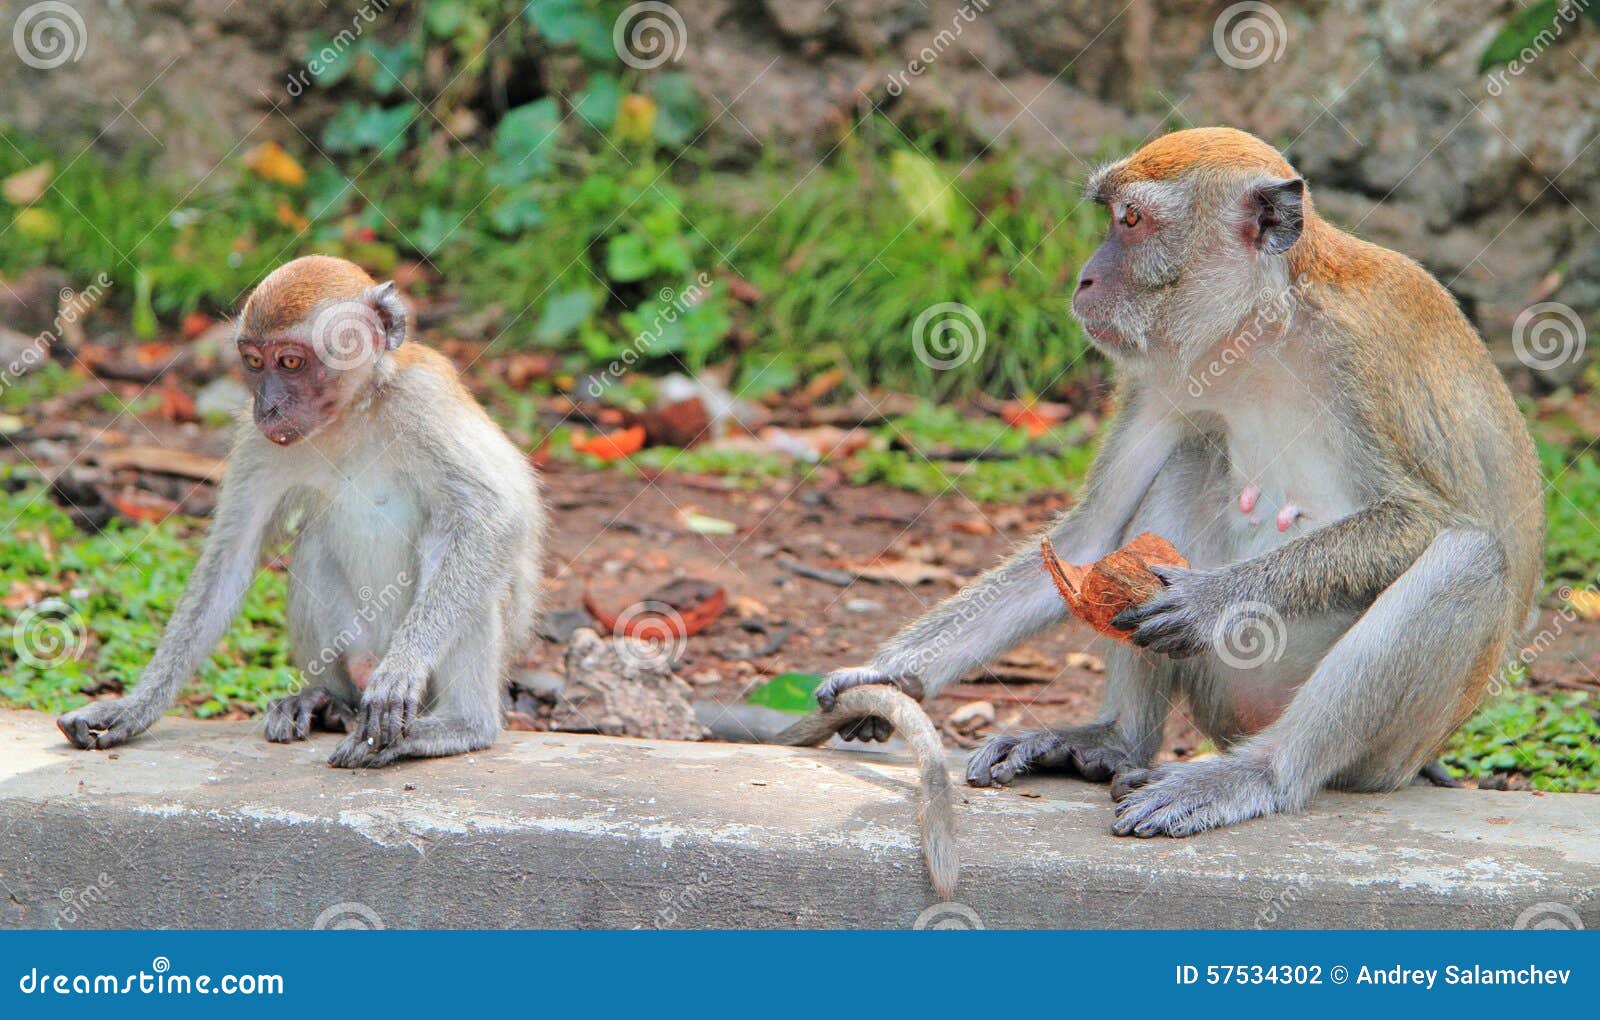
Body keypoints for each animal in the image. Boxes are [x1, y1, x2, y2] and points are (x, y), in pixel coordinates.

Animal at [58, 255, 544, 767]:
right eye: (254, 362)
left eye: (290, 361)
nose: (267, 406)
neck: (352, 412)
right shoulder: (259, 442)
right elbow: (232, 556)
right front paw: (134, 706)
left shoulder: (422, 399)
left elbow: (494, 517)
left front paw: (403, 669)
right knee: (313, 545)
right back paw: (326, 701)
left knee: (454, 541)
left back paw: (460, 725)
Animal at [819, 129, 1542, 837]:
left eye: (1132, 220)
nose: (1085, 278)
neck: (1259, 327)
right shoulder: (1161, 370)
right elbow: (1091, 537)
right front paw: (888, 673)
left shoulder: (1364, 357)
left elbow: (1428, 518)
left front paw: (1209, 600)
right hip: (1226, 688)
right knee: (1190, 457)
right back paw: (1114, 741)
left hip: (1393, 744)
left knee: (1469, 556)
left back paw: (1258, 774)